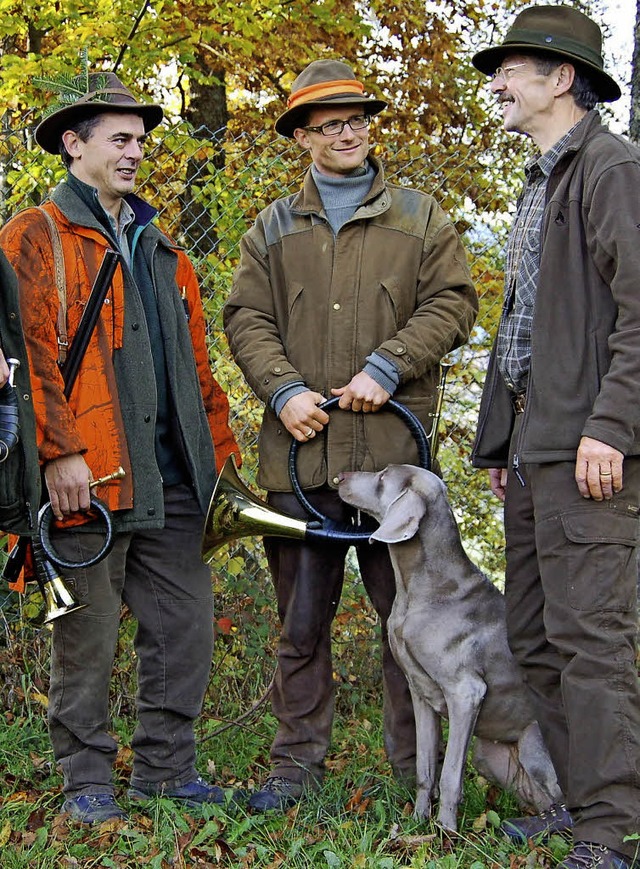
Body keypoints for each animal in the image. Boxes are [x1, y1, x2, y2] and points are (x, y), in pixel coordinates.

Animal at [338, 464, 564, 832]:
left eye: (383, 476)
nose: (339, 477)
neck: (420, 589)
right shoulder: (420, 692)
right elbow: (425, 767)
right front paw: (418, 823)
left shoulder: (465, 692)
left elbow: (449, 775)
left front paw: (445, 832)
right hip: (488, 756)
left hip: (533, 745)